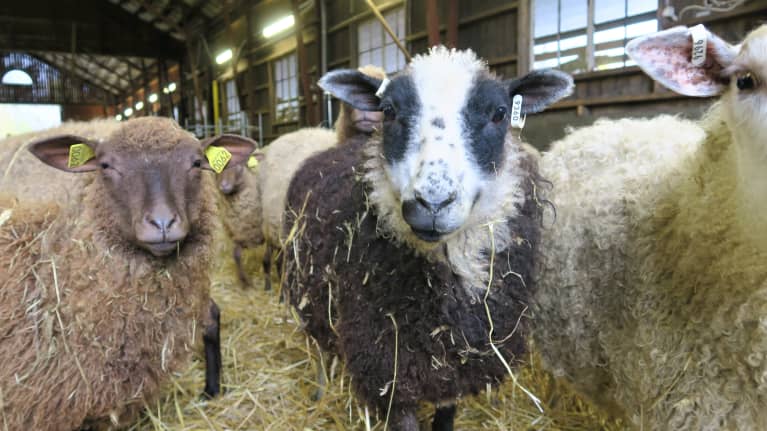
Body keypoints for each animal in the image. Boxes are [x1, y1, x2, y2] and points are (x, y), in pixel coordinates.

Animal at [283, 46, 573, 430]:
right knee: (316, 344)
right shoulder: (388, 369)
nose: (433, 203)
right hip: (305, 287)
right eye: (389, 111)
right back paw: (319, 389)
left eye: (498, 113)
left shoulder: (454, 364)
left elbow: (445, 415)